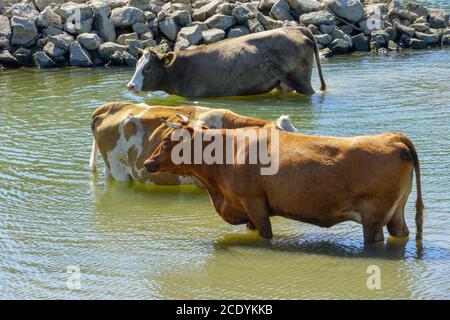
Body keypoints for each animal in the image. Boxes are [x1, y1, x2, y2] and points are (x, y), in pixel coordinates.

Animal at [145, 124, 426, 242]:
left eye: (167, 141)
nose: (148, 162)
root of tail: (392, 137)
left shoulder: (254, 203)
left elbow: (265, 234)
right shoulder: (247, 209)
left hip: (374, 216)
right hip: (396, 213)